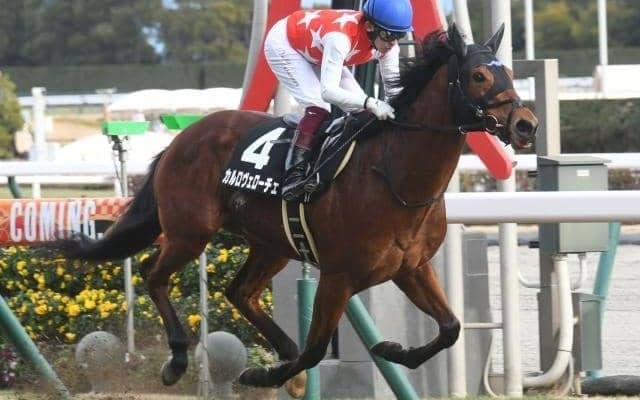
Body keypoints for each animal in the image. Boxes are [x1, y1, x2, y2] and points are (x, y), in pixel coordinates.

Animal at [53, 24, 537, 397]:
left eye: (511, 73)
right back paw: (176, 360)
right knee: (154, 274)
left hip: (271, 243)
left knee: (239, 292)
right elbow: (317, 348)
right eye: (478, 75)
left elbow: (451, 327)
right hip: (191, 231)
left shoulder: (411, 267)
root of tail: (181, 139)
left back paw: (281, 349)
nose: (526, 124)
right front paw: (262, 374)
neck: (393, 175)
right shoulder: (338, 275)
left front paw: (389, 350)